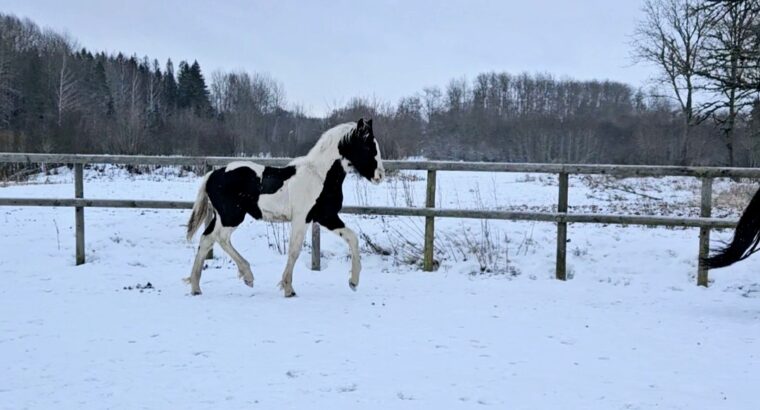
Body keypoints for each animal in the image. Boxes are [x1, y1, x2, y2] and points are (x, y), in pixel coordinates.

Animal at [185, 117, 386, 294]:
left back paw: (196, 287)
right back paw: (248, 276)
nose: (380, 176)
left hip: (222, 217)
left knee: (206, 239)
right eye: (368, 146)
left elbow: (352, 237)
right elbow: (294, 250)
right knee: (220, 238)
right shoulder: (302, 218)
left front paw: (353, 282)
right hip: (231, 216)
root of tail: (212, 174)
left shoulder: (326, 216)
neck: (319, 176)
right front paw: (288, 289)